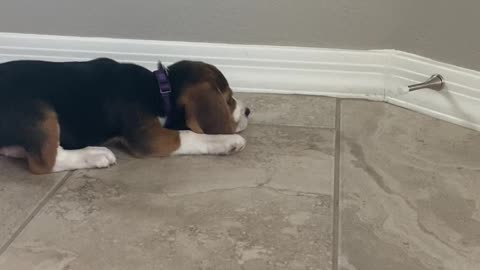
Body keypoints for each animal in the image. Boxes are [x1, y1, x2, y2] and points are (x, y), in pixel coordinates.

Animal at [0, 58, 251, 174]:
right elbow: (188, 135)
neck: (159, 89)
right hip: (38, 110)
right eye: (228, 99)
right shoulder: (147, 136)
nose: (248, 110)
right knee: (45, 161)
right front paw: (227, 141)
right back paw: (93, 154)